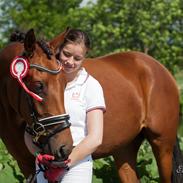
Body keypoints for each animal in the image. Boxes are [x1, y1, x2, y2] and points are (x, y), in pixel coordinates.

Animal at [0, 29, 182, 183]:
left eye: (63, 83)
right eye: (38, 86)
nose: (65, 147)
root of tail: (158, 67)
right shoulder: (27, 165)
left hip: (162, 145)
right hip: (124, 149)